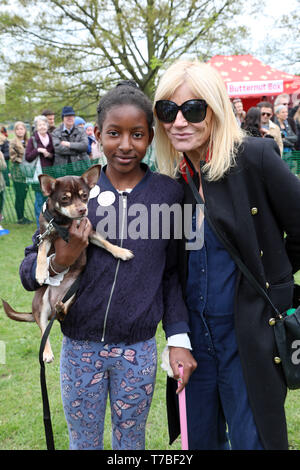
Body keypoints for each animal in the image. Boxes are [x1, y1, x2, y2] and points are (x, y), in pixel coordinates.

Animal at [2, 165, 134, 364]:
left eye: (85, 196)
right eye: (65, 198)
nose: (82, 210)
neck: (65, 223)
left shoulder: (89, 233)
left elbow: (105, 243)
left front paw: (121, 252)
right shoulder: (45, 237)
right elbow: (41, 255)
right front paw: (40, 272)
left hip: (73, 293)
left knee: (62, 315)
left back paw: (60, 308)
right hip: (41, 304)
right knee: (43, 330)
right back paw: (47, 352)